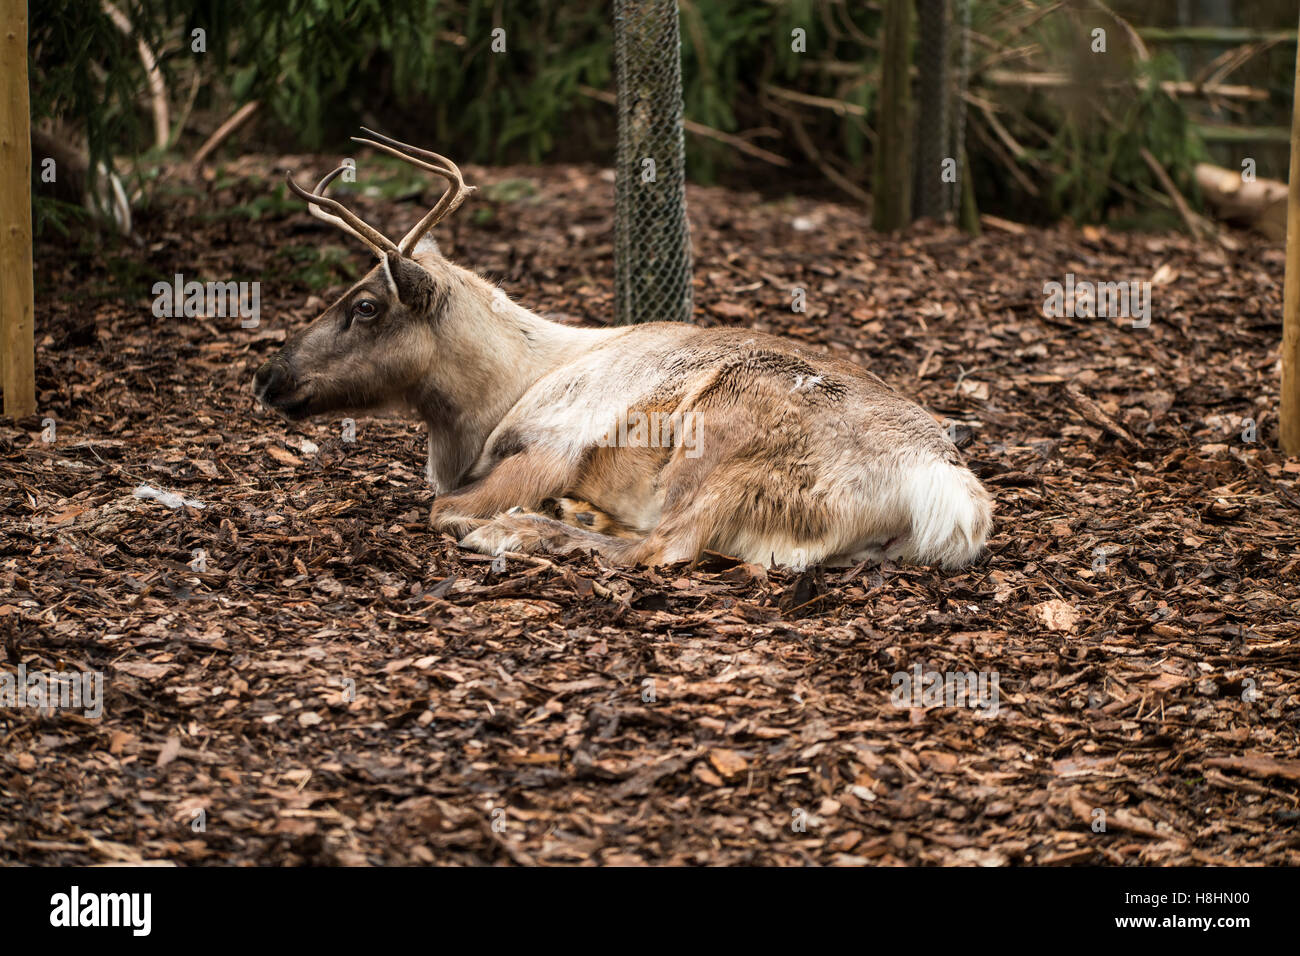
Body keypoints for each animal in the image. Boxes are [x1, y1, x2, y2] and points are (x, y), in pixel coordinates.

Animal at [250, 132, 982, 572]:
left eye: (366, 306)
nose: (267, 376)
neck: (497, 397)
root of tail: (952, 497)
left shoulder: (546, 450)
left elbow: (442, 508)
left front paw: (498, 520)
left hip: (718, 442)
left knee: (663, 548)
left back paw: (521, 530)